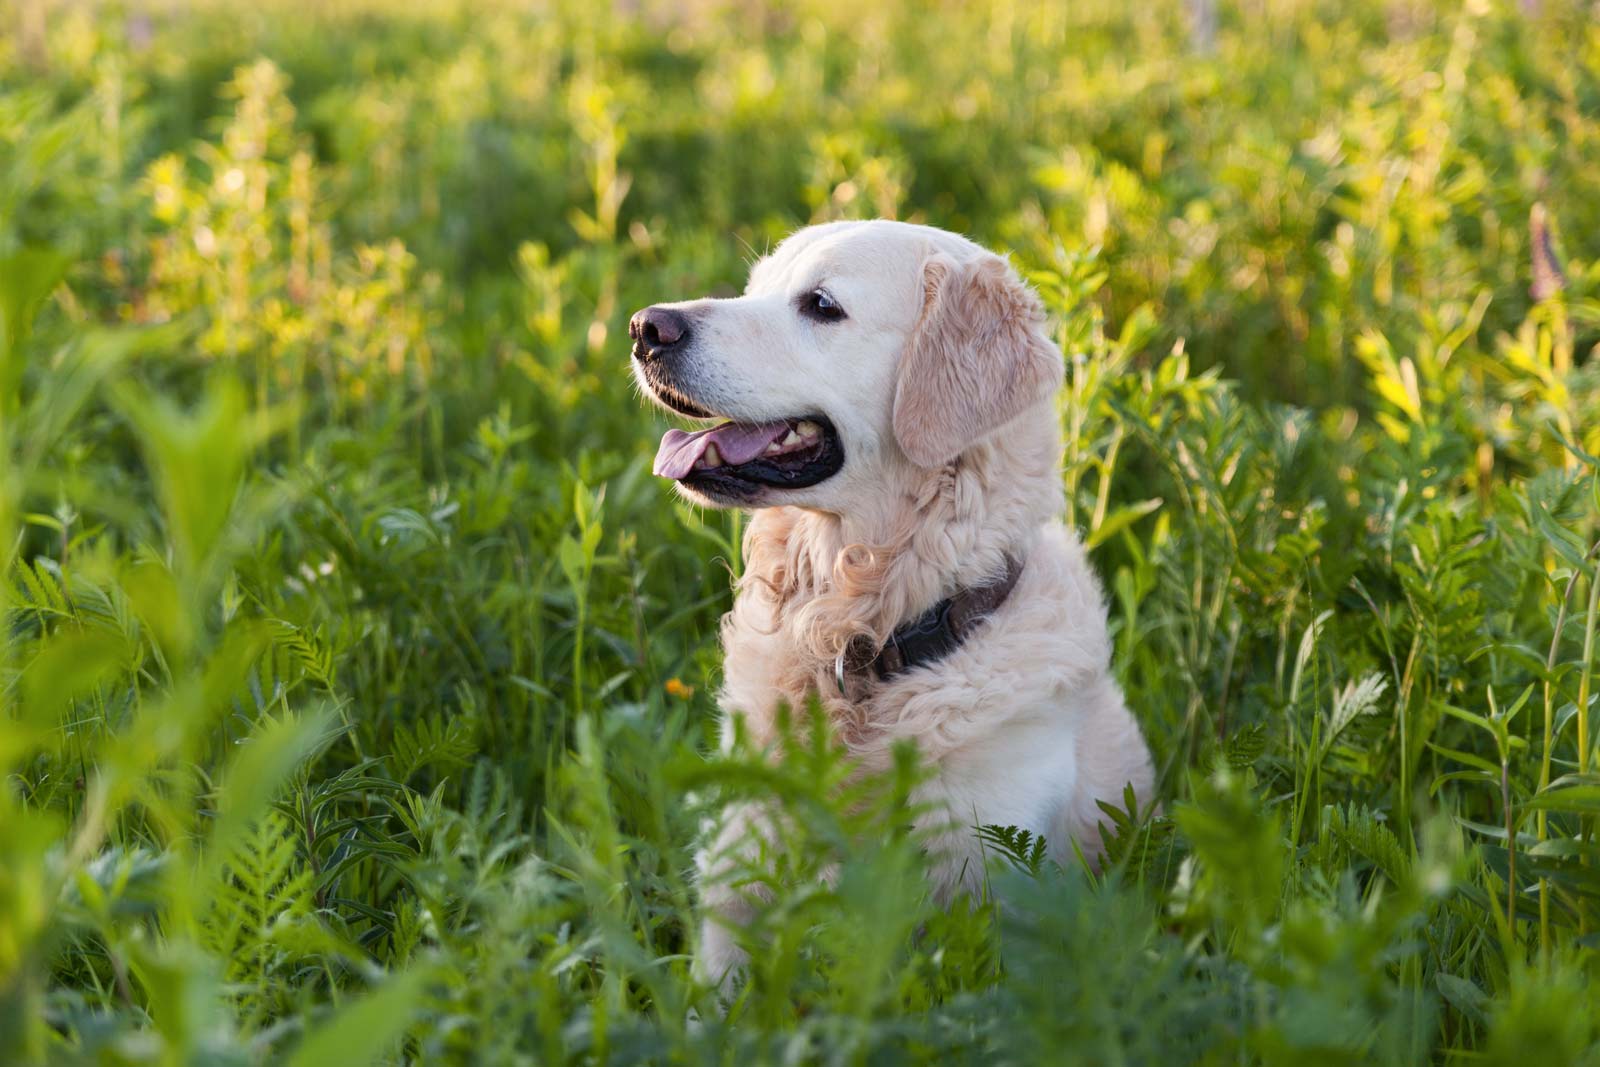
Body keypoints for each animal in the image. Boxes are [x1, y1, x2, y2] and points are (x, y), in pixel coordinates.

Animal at [630, 220, 1158, 991]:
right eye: (753, 288)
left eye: (821, 305)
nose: (645, 327)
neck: (860, 634)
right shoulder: (740, 867)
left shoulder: (991, 883)